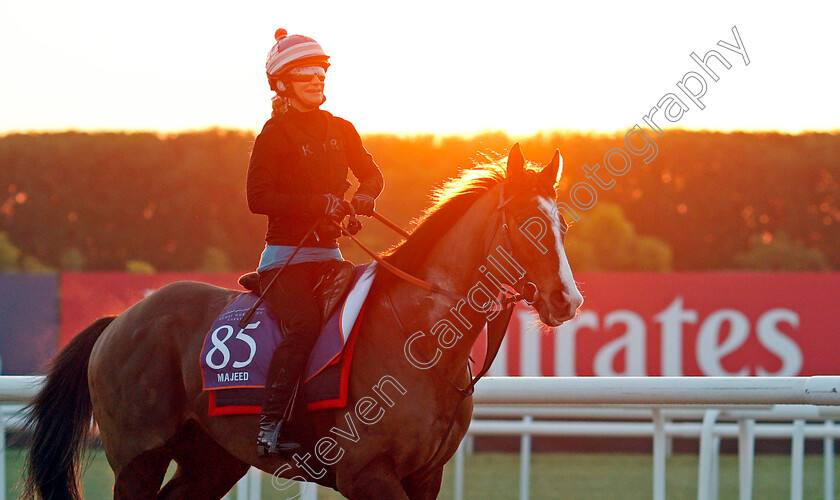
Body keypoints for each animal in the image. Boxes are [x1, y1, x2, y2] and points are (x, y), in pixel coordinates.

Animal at [21, 143, 584, 498]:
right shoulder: (366, 473)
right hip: (138, 455)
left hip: (212, 458)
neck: (421, 340)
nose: (568, 299)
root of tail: (119, 321)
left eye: (560, 224)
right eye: (527, 223)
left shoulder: (426, 476)